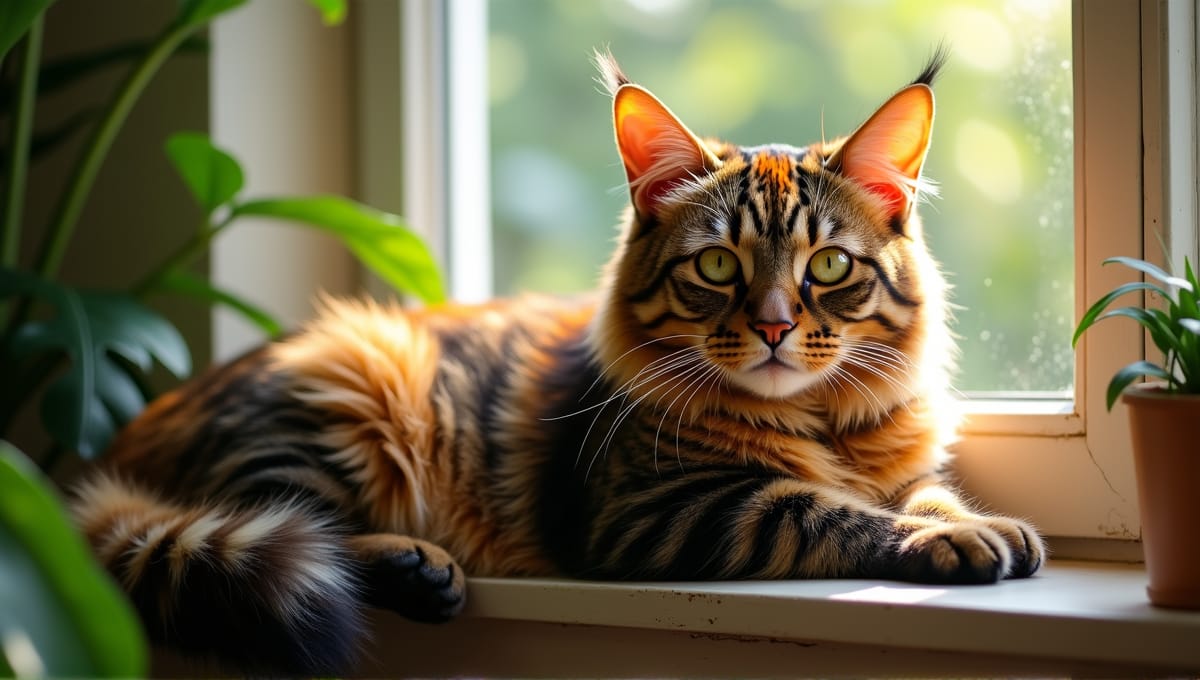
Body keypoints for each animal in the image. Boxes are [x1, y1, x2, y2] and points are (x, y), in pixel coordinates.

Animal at [75, 50, 1046, 671]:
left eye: (829, 267)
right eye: (718, 267)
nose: (774, 327)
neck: (823, 424)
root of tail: (110, 454)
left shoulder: (894, 465)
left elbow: (924, 492)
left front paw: (978, 522)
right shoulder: (661, 510)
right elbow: (825, 509)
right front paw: (951, 540)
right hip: (341, 397)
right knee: (287, 526)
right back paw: (415, 564)